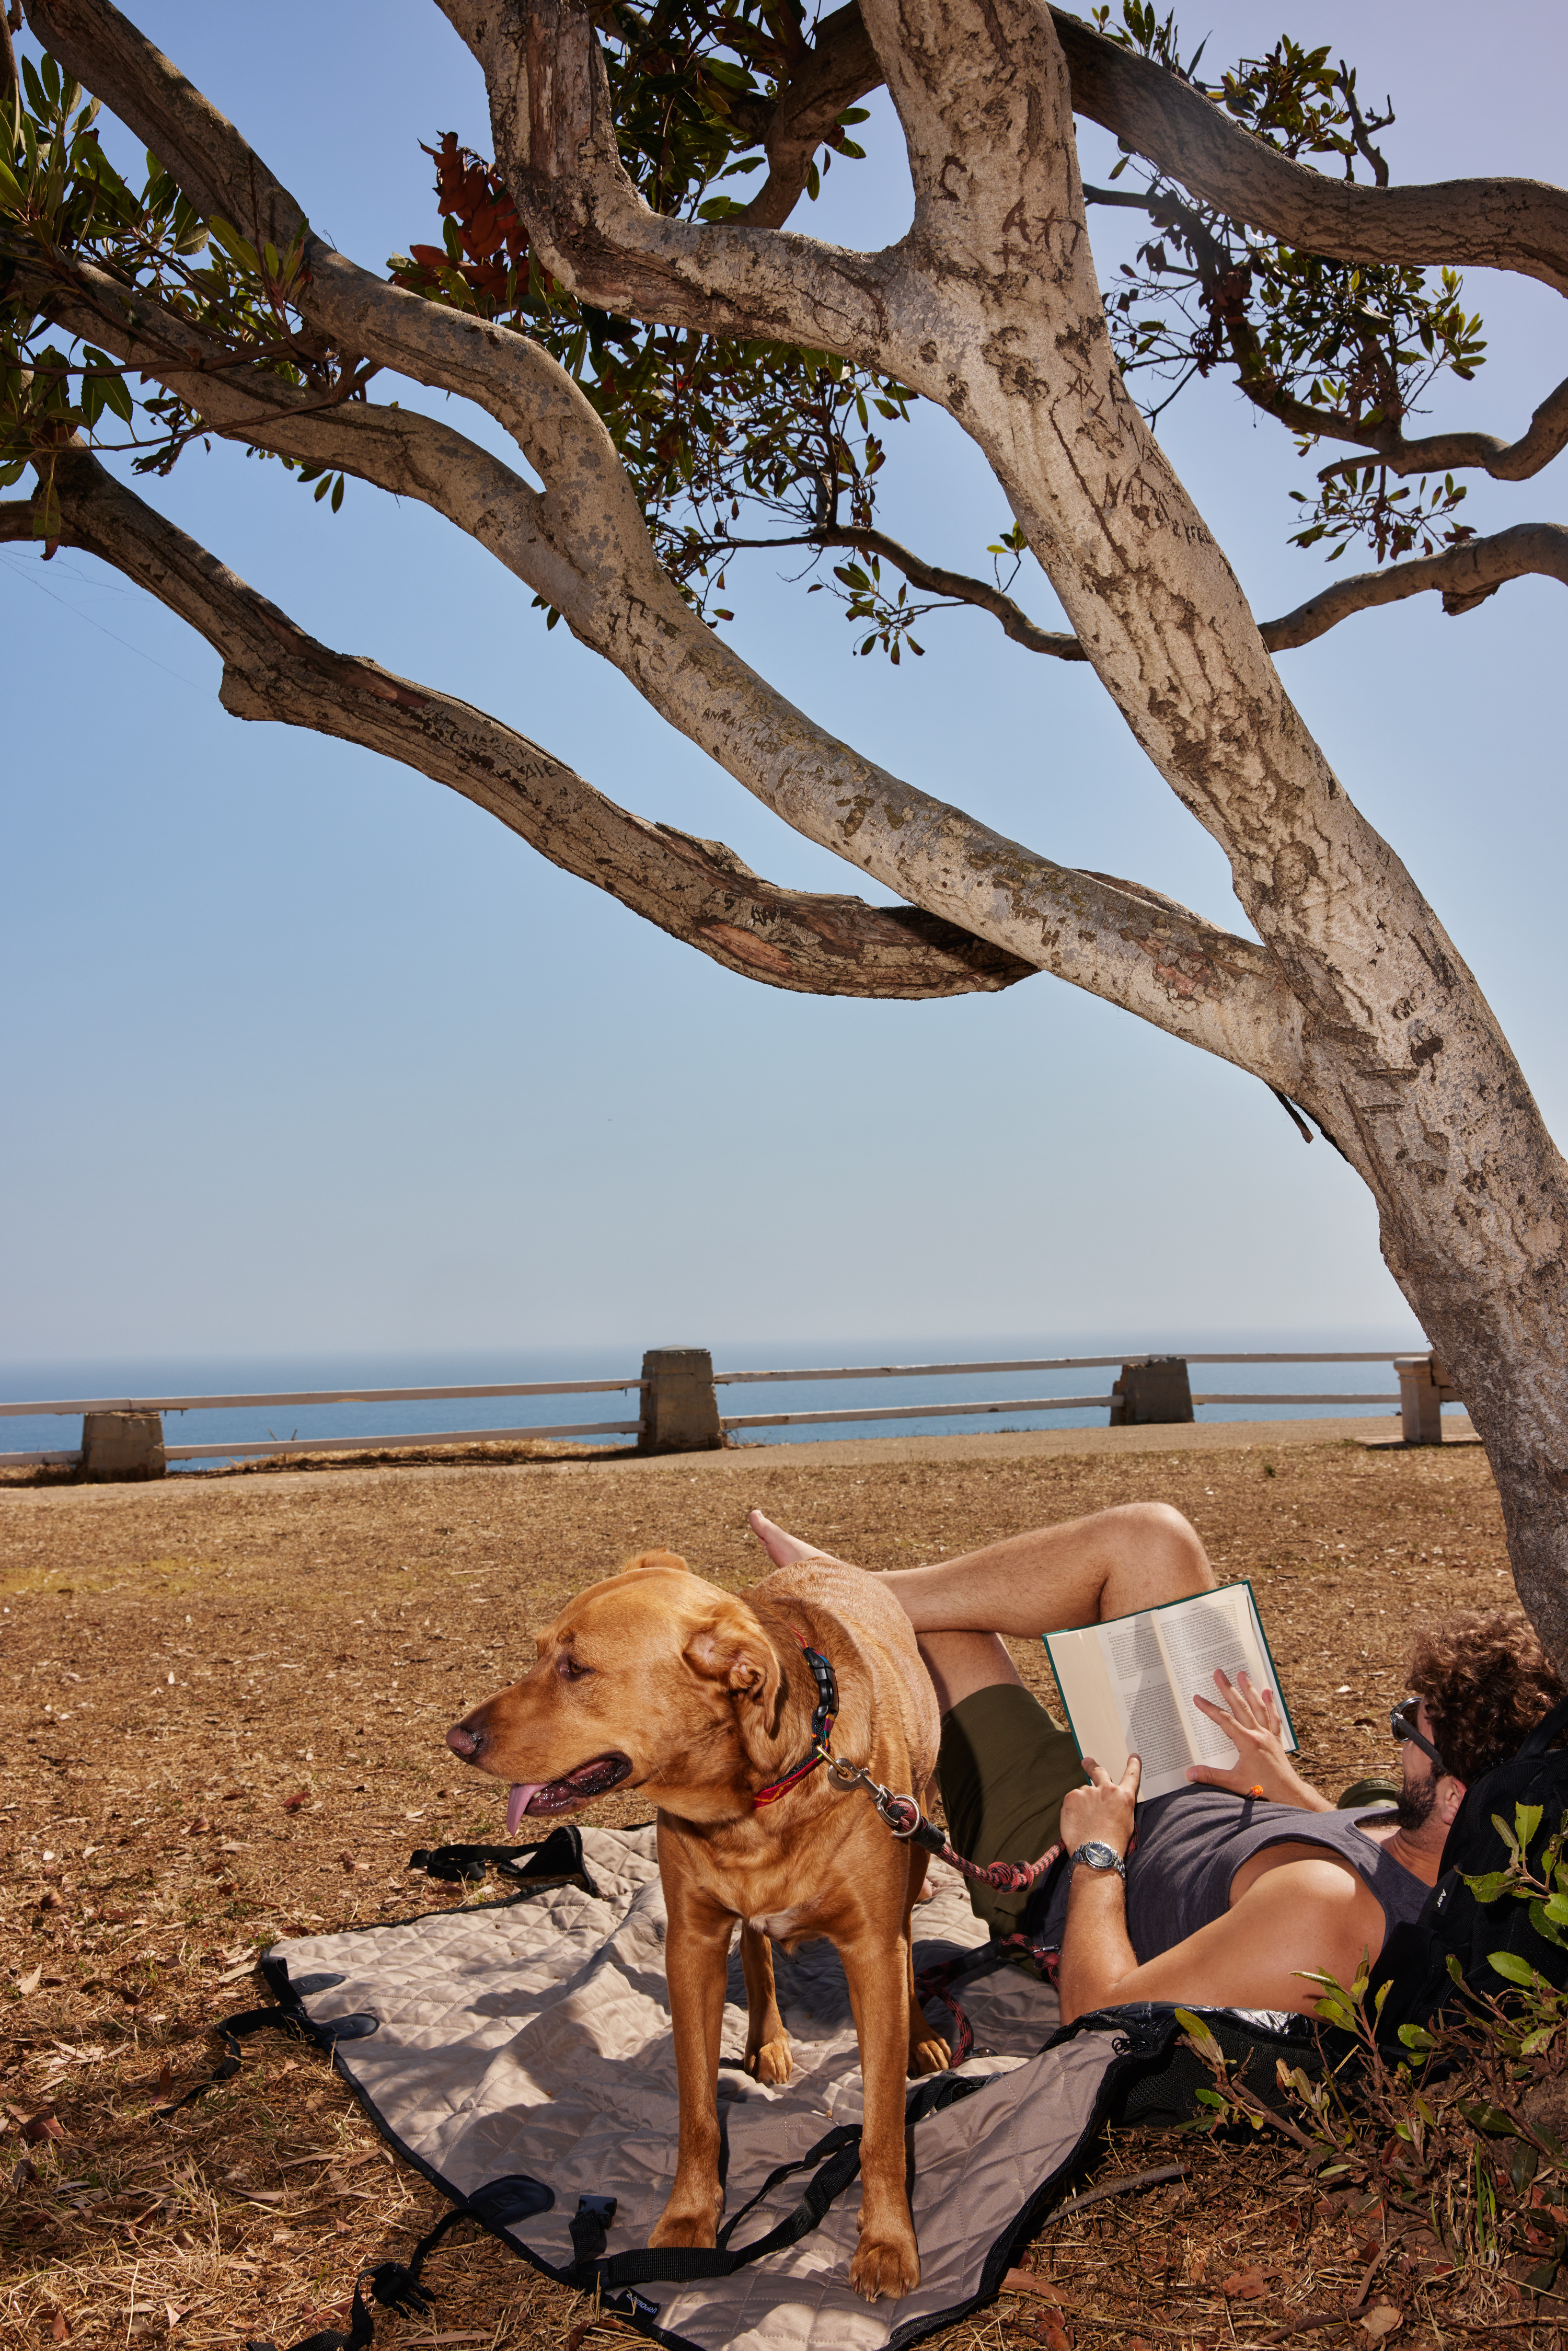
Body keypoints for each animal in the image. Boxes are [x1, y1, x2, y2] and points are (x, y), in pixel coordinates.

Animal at [446, 1542, 950, 2295]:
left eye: (576, 1668)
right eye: (537, 1655)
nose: (456, 1737)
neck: (759, 1797)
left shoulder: (870, 1946)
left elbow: (883, 2124)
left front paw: (888, 2240)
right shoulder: (692, 1943)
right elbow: (697, 2111)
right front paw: (688, 2221)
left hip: (915, 1838)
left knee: (907, 1947)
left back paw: (920, 2036)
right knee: (759, 1949)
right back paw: (768, 2038)